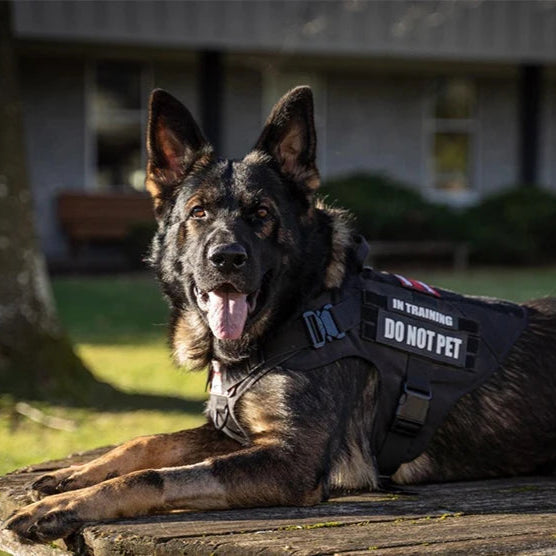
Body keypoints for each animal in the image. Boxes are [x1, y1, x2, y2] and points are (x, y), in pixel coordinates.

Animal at [4, 87, 556, 544]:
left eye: (263, 214)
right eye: (199, 212)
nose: (226, 258)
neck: (300, 312)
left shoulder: (291, 460)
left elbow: (152, 476)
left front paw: (65, 506)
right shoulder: (234, 433)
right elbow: (145, 443)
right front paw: (72, 479)